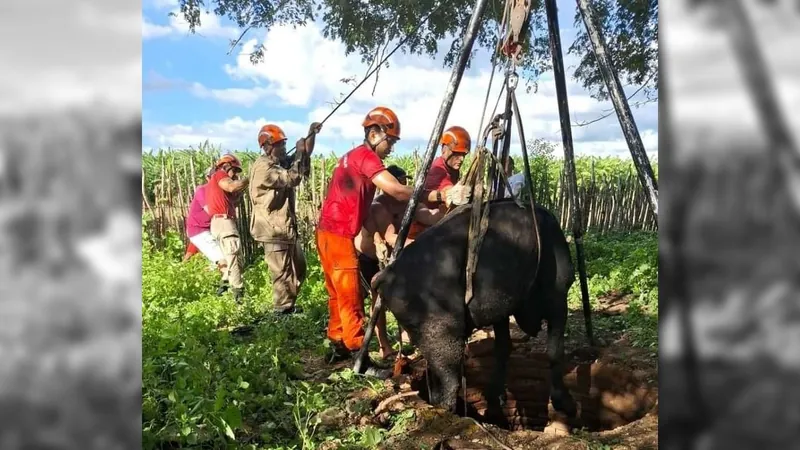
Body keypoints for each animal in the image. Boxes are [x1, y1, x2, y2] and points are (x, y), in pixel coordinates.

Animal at [372, 200, 580, 418]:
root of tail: (386, 274)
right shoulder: (559, 299)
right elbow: (555, 352)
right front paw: (565, 403)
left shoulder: (501, 311)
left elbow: (503, 347)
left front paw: (496, 397)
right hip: (445, 335)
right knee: (449, 386)